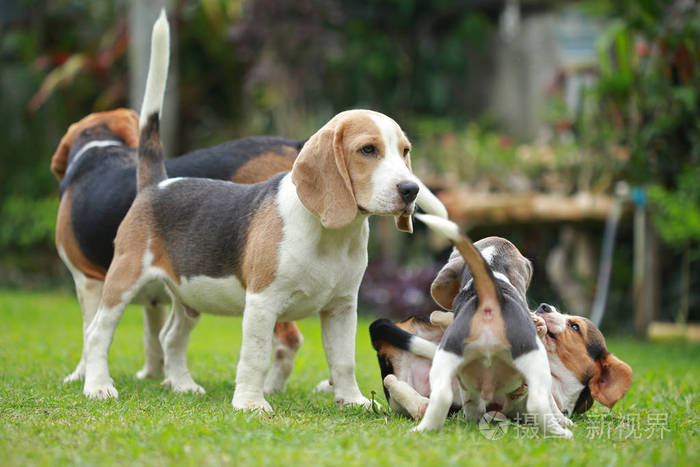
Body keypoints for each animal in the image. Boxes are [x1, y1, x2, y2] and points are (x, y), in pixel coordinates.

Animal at [82, 12, 438, 414]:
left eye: (405, 151)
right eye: (367, 150)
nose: (411, 190)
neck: (331, 233)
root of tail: (157, 184)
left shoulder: (342, 308)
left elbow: (343, 360)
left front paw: (352, 400)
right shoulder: (263, 303)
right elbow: (255, 356)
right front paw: (251, 404)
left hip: (189, 296)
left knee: (171, 336)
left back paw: (183, 385)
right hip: (124, 279)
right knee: (98, 332)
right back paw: (98, 386)